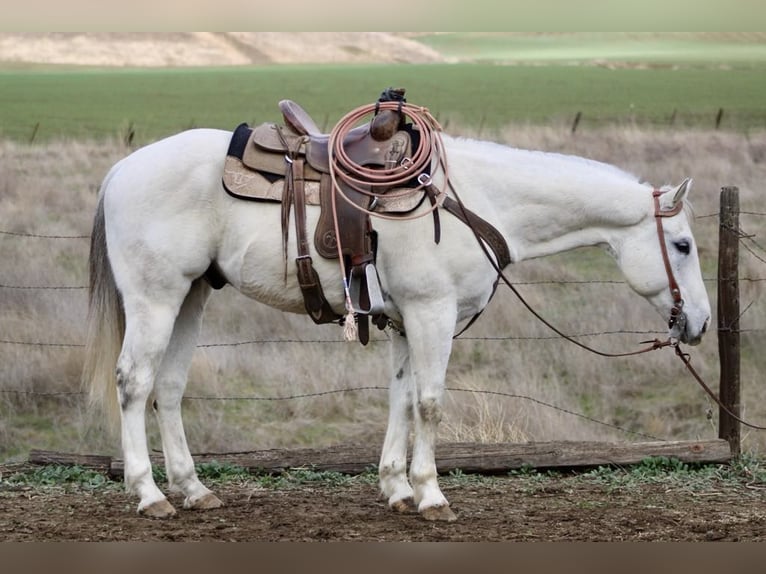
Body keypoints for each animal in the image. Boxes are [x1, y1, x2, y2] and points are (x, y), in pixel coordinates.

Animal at [82, 126, 711, 522]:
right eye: (681, 245)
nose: (700, 322)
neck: (472, 202)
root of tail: (121, 170)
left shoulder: (408, 320)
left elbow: (402, 400)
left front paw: (396, 488)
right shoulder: (432, 313)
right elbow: (429, 403)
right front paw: (431, 496)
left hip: (190, 296)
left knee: (168, 388)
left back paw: (193, 490)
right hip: (156, 299)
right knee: (134, 384)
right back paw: (149, 495)